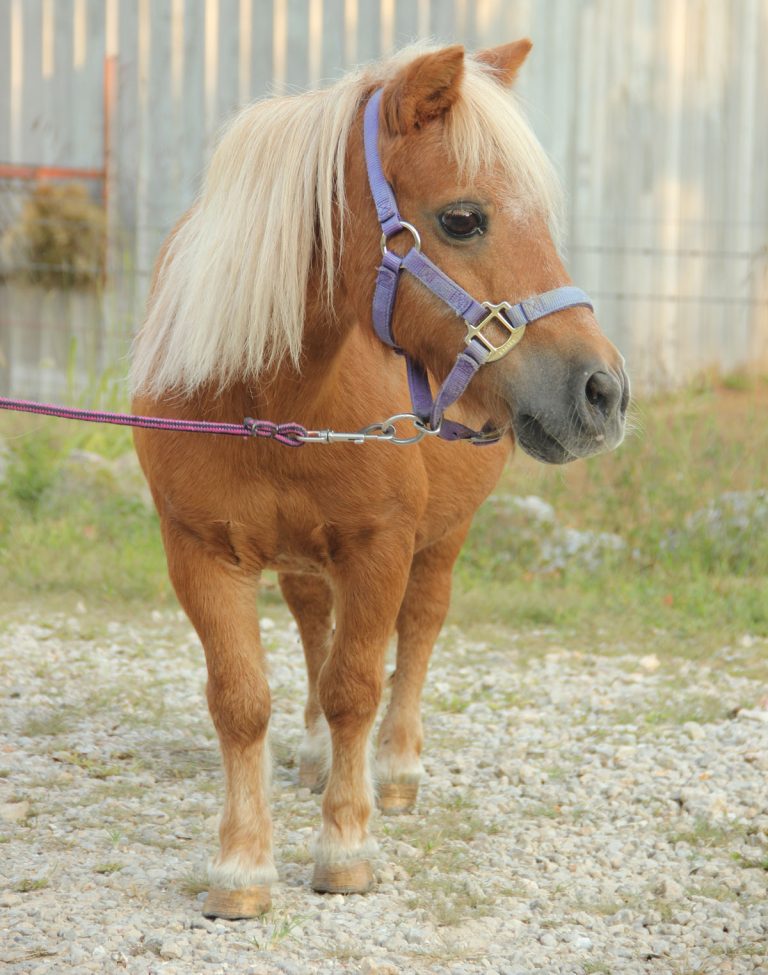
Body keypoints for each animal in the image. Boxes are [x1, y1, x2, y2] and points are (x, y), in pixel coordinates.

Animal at [131, 40, 629, 920]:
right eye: (463, 217)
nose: (604, 391)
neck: (271, 403)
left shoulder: (382, 545)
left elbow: (357, 686)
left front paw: (347, 846)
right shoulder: (198, 551)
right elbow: (242, 699)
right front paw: (241, 865)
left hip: (441, 541)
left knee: (419, 632)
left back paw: (393, 769)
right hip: (304, 558)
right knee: (312, 626)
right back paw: (315, 755)